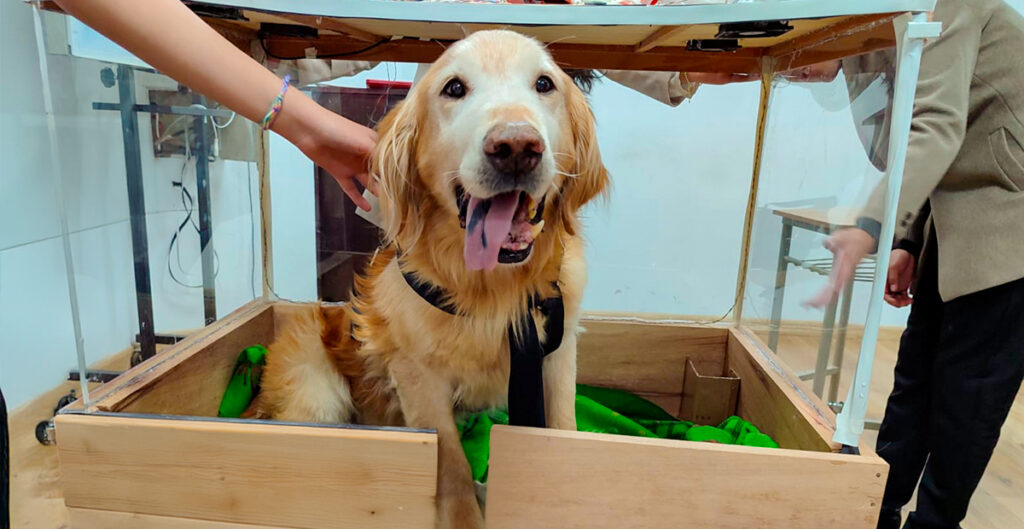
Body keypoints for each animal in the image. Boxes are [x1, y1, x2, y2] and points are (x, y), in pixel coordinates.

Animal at [246, 29, 606, 527]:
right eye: (454, 88)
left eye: (544, 84)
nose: (516, 147)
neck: (492, 287)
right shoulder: (418, 376)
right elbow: (450, 461)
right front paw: (465, 512)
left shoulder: (556, 351)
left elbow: (562, 429)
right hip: (315, 393)